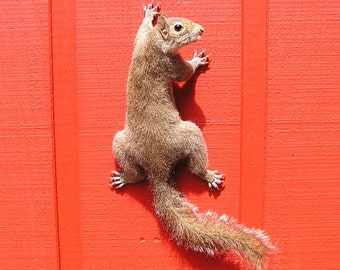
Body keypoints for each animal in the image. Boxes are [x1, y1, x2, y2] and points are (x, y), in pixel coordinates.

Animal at [110, 2, 274, 270]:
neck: (155, 43)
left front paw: (149, 14)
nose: (202, 29)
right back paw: (207, 175)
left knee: (136, 172)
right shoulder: (171, 64)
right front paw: (197, 60)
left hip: (120, 143)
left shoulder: (141, 40)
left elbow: (139, 32)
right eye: (178, 27)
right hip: (191, 134)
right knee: (190, 166)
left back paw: (126, 177)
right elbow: (185, 73)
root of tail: (157, 168)